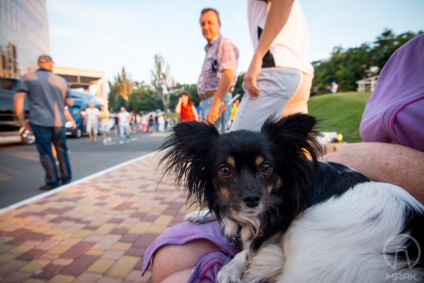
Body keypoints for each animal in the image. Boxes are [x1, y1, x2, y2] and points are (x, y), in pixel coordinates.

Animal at [160, 114, 424, 282]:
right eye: (225, 170)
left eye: (267, 167)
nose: (252, 200)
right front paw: (202, 214)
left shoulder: (280, 221)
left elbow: (252, 246)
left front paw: (230, 267)